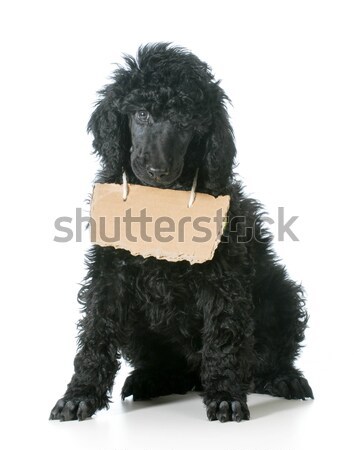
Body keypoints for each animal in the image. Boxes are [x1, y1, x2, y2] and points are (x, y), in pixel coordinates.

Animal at [49, 42, 312, 422]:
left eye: (185, 122)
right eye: (141, 115)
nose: (157, 170)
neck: (162, 201)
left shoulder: (222, 275)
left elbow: (222, 336)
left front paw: (225, 396)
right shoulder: (110, 273)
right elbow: (97, 330)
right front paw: (80, 394)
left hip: (281, 293)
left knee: (266, 357)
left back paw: (282, 378)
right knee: (172, 368)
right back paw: (151, 379)